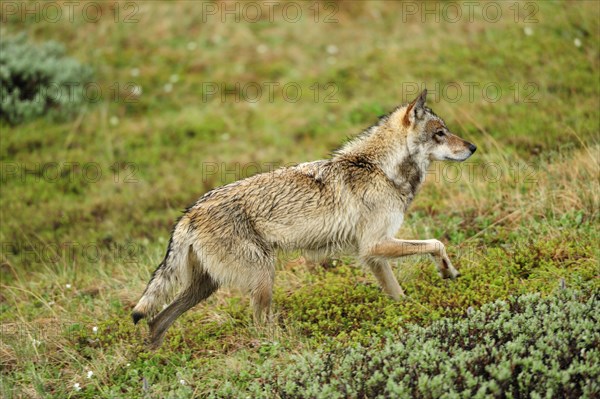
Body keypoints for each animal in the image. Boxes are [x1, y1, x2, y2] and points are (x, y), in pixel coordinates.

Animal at [134, 90, 476, 346]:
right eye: (440, 133)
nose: (473, 147)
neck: (380, 170)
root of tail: (190, 212)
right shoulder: (375, 245)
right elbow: (436, 243)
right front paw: (447, 271)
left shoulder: (372, 255)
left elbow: (398, 294)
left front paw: (412, 311)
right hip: (262, 276)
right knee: (258, 326)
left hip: (206, 287)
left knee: (156, 321)